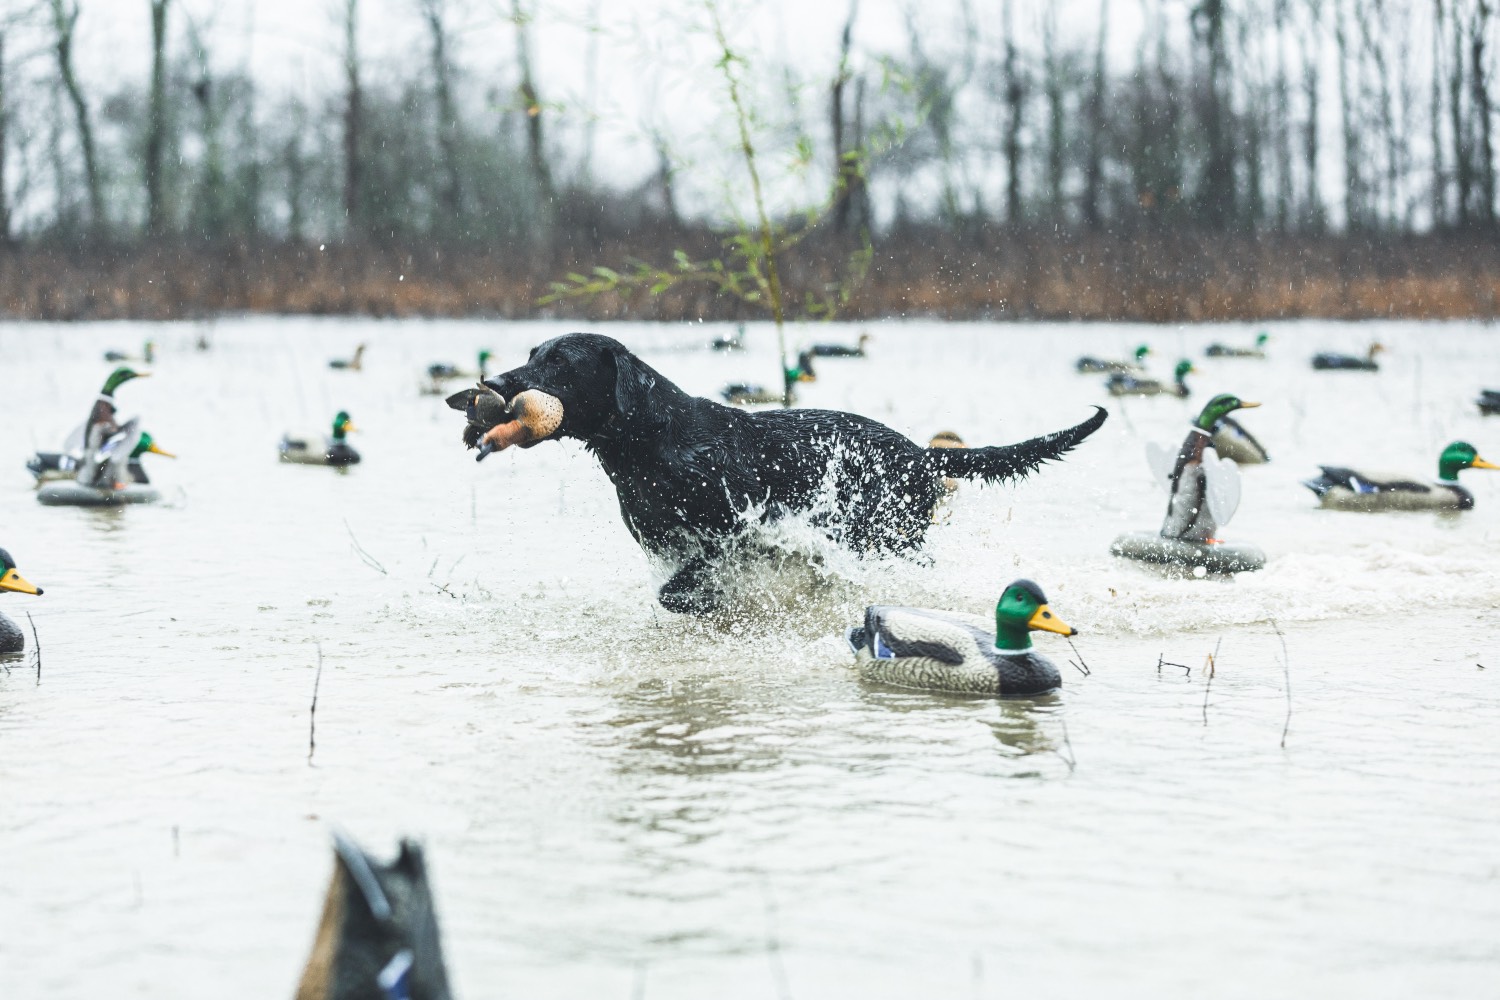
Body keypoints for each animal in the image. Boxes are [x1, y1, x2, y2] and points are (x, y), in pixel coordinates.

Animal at [462, 334, 1110, 611]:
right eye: (532, 352)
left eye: (559, 362)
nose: (493, 383)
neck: (656, 441)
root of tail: (922, 454)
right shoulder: (668, 541)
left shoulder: (734, 533)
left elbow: (682, 589)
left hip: (886, 537)